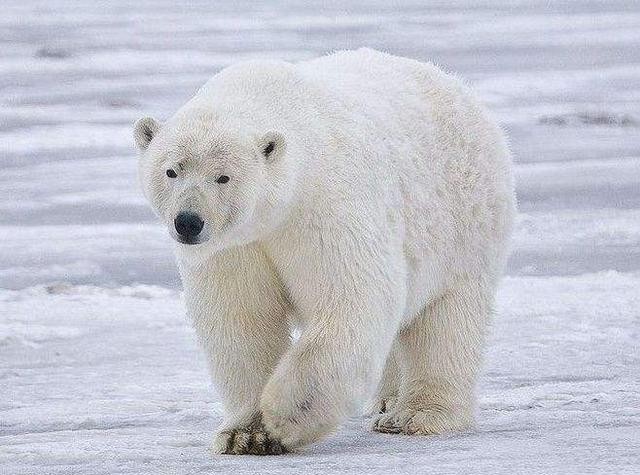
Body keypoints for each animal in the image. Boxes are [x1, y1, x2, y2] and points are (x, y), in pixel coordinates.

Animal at [134, 49, 516, 458]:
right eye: (171, 171)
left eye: (223, 177)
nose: (188, 222)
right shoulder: (235, 246)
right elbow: (242, 319)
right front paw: (246, 434)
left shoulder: (325, 204)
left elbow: (352, 297)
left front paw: (286, 415)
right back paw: (386, 401)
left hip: (463, 225)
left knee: (446, 321)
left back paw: (416, 415)